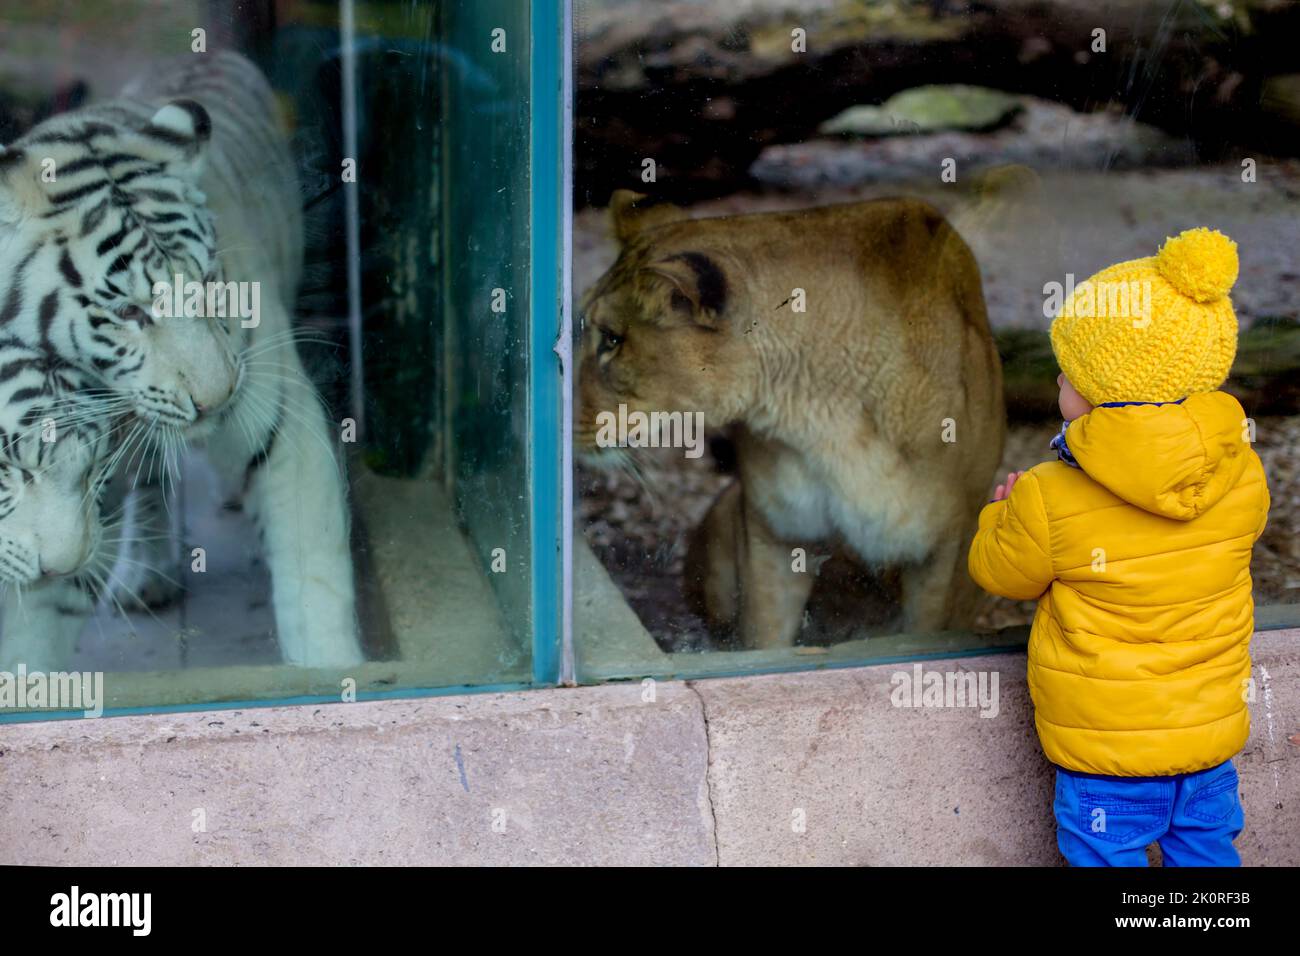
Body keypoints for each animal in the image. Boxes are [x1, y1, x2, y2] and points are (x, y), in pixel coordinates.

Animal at [0, 52, 364, 665]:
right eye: (127, 311)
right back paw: (148, 574)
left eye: (210, 284)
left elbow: (311, 573)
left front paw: (331, 668)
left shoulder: (281, 419)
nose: (219, 399)